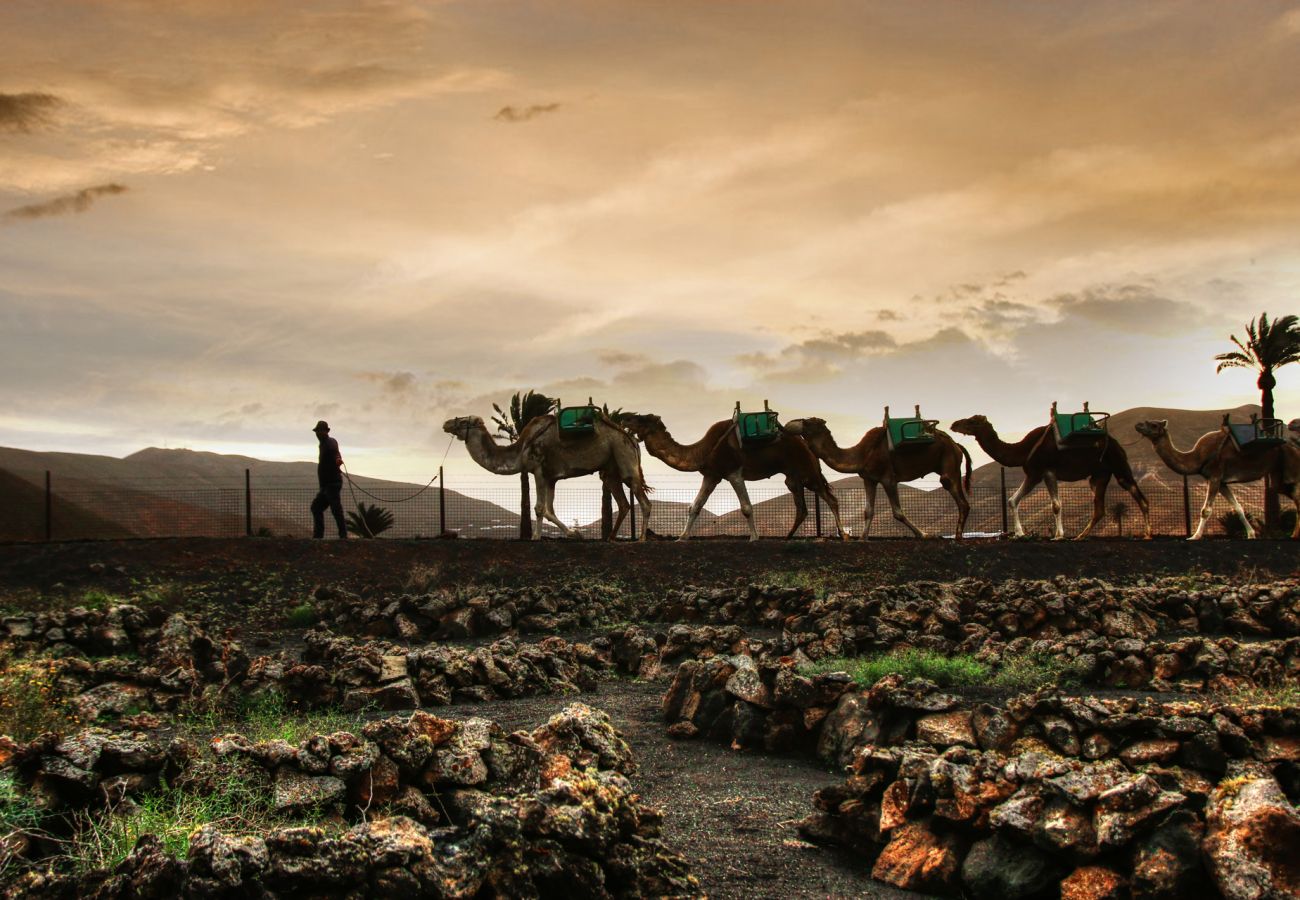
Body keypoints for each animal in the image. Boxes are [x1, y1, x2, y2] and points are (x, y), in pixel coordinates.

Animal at [444, 416, 655, 541]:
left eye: (462, 421)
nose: (446, 424)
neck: (521, 450)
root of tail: (632, 439)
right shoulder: (551, 478)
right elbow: (549, 510)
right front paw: (573, 533)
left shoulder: (538, 469)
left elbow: (539, 508)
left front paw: (536, 537)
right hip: (610, 470)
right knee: (623, 503)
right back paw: (611, 537)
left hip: (623, 456)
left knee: (643, 500)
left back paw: (641, 539)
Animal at [621, 413, 852, 541]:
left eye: (642, 418)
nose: (625, 418)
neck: (703, 450)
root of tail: (806, 445)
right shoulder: (712, 475)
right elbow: (695, 506)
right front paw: (681, 537)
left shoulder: (734, 472)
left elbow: (746, 507)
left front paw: (754, 538)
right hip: (792, 478)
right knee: (802, 508)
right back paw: (787, 537)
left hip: (807, 472)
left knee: (831, 498)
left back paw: (844, 535)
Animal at [774, 418, 972, 538]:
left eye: (807, 422)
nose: (787, 424)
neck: (861, 454)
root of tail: (956, 445)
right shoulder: (869, 479)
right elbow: (867, 511)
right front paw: (862, 538)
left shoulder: (888, 478)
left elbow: (898, 512)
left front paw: (923, 535)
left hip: (949, 462)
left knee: (960, 498)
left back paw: (958, 537)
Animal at [951, 413, 1154, 541]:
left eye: (972, 421)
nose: (954, 424)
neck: (1023, 449)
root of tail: (1116, 443)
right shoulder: (1034, 474)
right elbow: (1012, 500)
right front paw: (1020, 534)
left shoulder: (1048, 471)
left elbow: (1055, 505)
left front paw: (1058, 535)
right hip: (1099, 476)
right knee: (1099, 508)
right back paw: (1080, 536)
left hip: (1119, 465)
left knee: (1139, 496)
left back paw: (1148, 534)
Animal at [1133, 421, 1294, 541]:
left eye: (1154, 425)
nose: (1138, 425)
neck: (1197, 457)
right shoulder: (1222, 483)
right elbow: (1238, 508)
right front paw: (1251, 534)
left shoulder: (1215, 476)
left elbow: (1206, 510)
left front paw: (1194, 537)